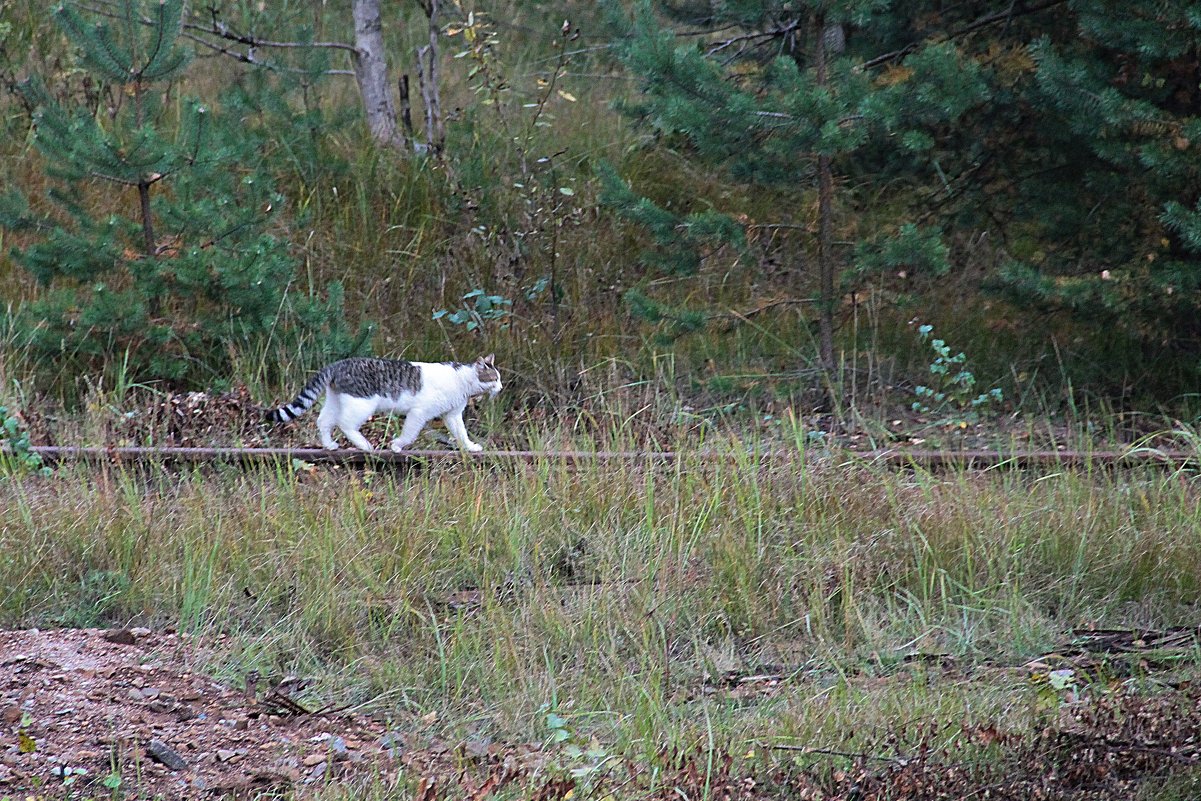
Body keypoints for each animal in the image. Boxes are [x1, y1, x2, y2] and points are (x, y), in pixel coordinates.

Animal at [270, 355, 499, 451]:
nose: (501, 387)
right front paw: (396, 445)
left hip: (336, 399)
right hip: (362, 404)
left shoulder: (452, 415)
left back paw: (330, 445)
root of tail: (338, 363)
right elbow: (409, 434)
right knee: (345, 424)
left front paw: (470, 447)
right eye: (494, 379)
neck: (463, 381)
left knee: (323, 421)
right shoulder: (419, 412)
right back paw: (364, 445)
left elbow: (462, 433)